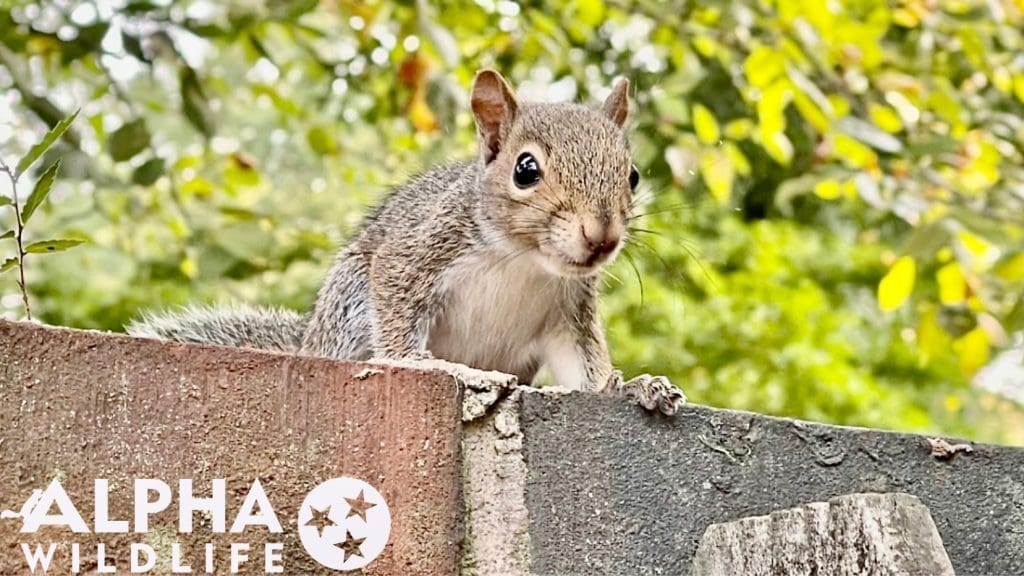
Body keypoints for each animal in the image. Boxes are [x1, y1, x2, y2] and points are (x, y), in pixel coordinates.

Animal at [128, 69, 686, 416]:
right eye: (525, 170)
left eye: (633, 175)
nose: (602, 236)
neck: (523, 261)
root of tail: (310, 342)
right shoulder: (418, 253)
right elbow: (397, 311)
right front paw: (424, 363)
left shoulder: (567, 314)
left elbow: (584, 365)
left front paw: (633, 384)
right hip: (350, 304)